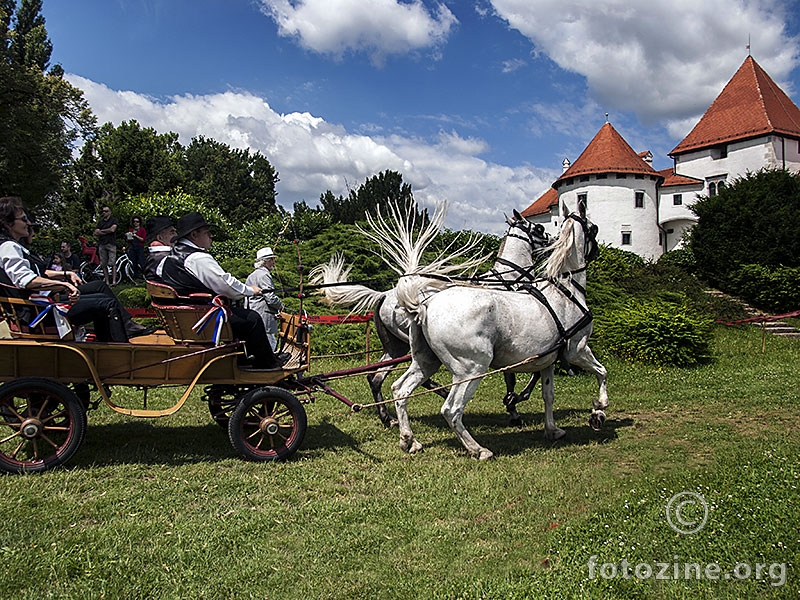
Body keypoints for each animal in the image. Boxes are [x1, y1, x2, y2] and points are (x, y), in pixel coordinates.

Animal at [310, 211, 552, 426]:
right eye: (539, 228)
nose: (552, 239)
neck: (507, 281)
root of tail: (384, 295)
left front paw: (513, 403)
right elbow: (522, 373)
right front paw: (514, 403)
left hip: (396, 347)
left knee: (376, 378)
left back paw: (387, 417)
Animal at [366, 202, 608, 460]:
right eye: (540, 229)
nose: (550, 241)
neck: (566, 289)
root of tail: (424, 305)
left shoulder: (547, 361)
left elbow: (548, 395)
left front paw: (551, 429)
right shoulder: (577, 350)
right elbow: (601, 372)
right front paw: (599, 411)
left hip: (424, 360)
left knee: (398, 389)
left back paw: (408, 439)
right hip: (471, 368)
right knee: (451, 409)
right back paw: (477, 449)